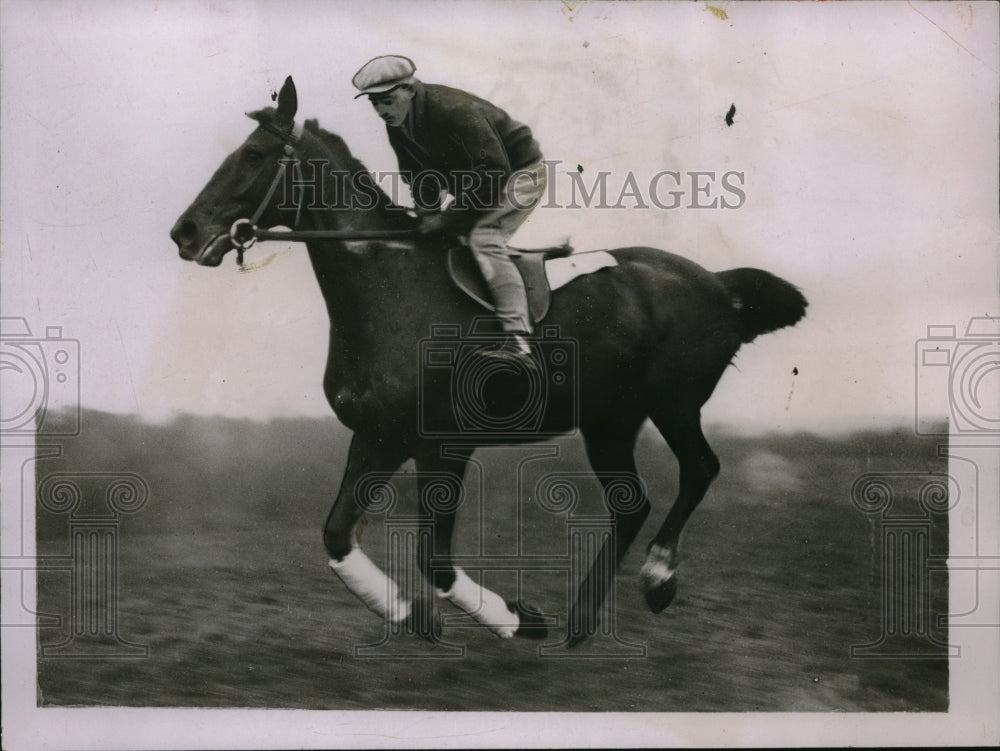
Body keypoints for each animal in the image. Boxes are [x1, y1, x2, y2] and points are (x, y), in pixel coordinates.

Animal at [170, 78, 804, 648]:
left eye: (254, 154)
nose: (185, 232)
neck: (390, 284)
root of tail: (719, 285)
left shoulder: (443, 445)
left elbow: (436, 560)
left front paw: (520, 620)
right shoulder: (378, 435)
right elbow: (336, 535)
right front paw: (409, 615)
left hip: (674, 402)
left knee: (699, 470)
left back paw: (656, 579)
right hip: (610, 420)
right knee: (632, 505)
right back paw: (581, 622)